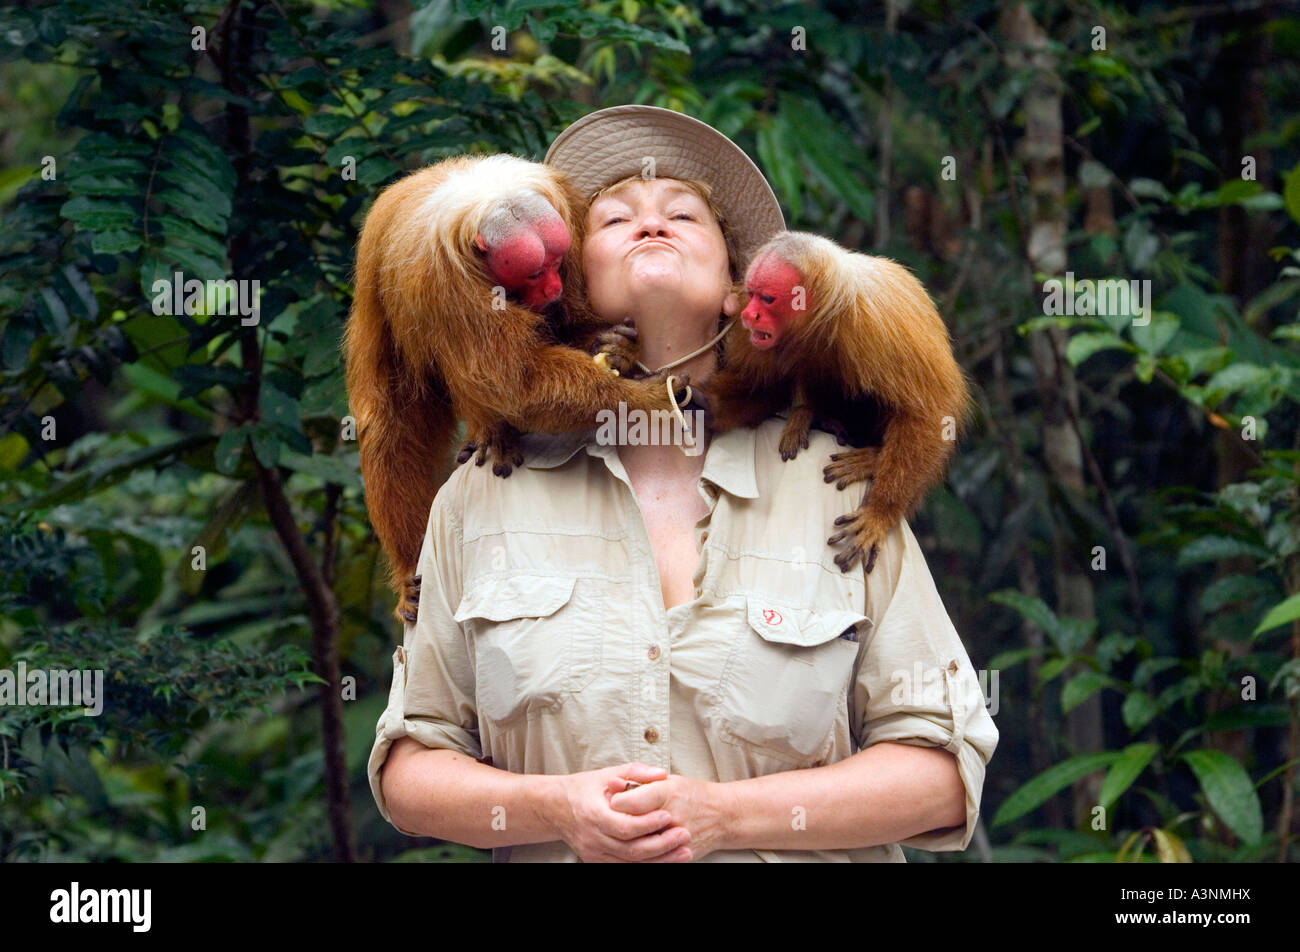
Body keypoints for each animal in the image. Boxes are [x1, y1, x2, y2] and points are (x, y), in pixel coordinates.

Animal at [345, 152, 686, 621]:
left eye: (556, 264)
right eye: (535, 271)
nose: (552, 286)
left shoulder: (571, 223)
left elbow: (567, 328)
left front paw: (616, 349)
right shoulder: (444, 280)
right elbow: (510, 382)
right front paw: (643, 400)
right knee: (391, 424)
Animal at [702, 230, 967, 572]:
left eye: (768, 299)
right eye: (752, 293)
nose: (749, 315)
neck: (827, 316)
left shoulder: (877, 326)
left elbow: (929, 413)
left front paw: (880, 512)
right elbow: (764, 388)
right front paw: (700, 402)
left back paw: (870, 457)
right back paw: (813, 415)